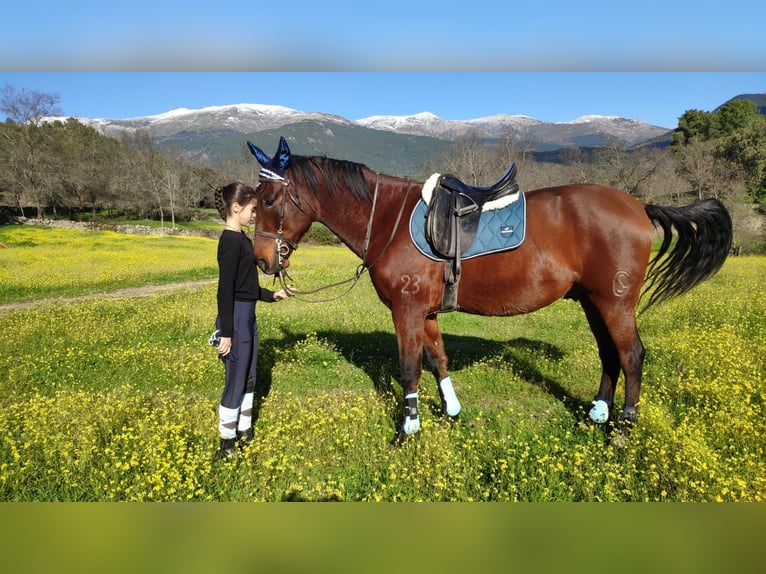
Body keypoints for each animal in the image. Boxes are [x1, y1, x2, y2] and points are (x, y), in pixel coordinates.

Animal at [249, 137, 736, 438]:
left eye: (269, 200)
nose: (262, 259)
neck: (388, 219)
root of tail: (638, 206)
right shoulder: (425, 313)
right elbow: (437, 361)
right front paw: (451, 413)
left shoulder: (406, 311)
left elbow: (409, 369)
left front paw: (407, 432)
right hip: (593, 302)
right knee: (609, 355)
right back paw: (598, 414)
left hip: (615, 303)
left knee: (632, 355)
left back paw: (623, 430)